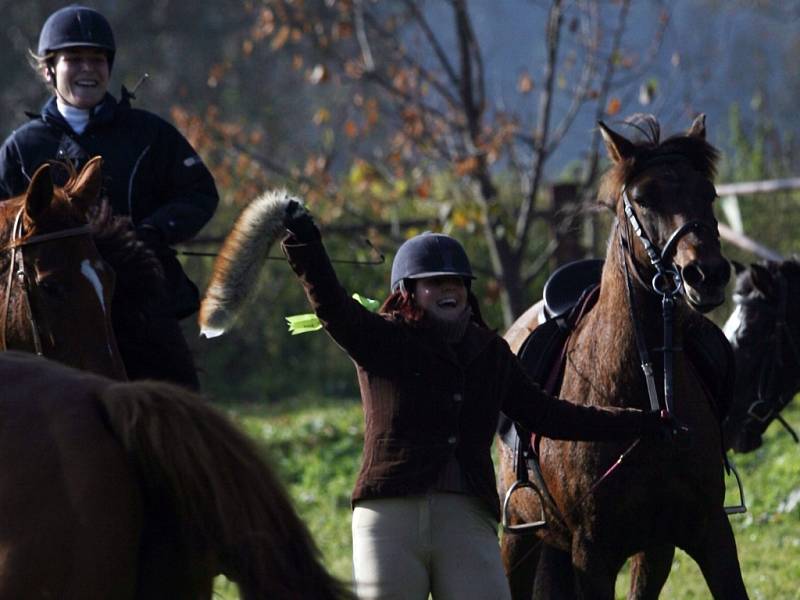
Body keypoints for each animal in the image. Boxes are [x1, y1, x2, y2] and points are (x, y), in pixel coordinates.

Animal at [496, 115, 748, 596]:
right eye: (644, 198)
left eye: (708, 194)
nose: (707, 274)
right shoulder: (592, 554)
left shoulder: (702, 534)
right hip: (518, 537)